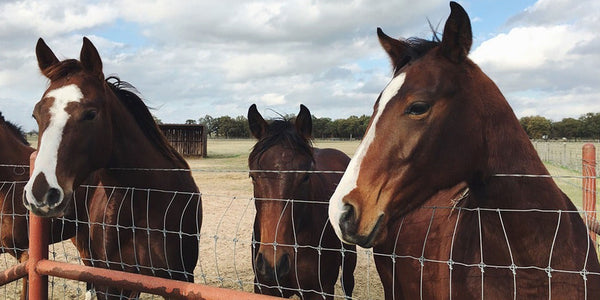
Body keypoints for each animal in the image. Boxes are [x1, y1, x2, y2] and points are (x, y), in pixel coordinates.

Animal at [23, 37, 203, 300]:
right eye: (36, 115)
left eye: (90, 114)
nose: (41, 193)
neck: (147, 201)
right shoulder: (110, 282)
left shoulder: (178, 281)